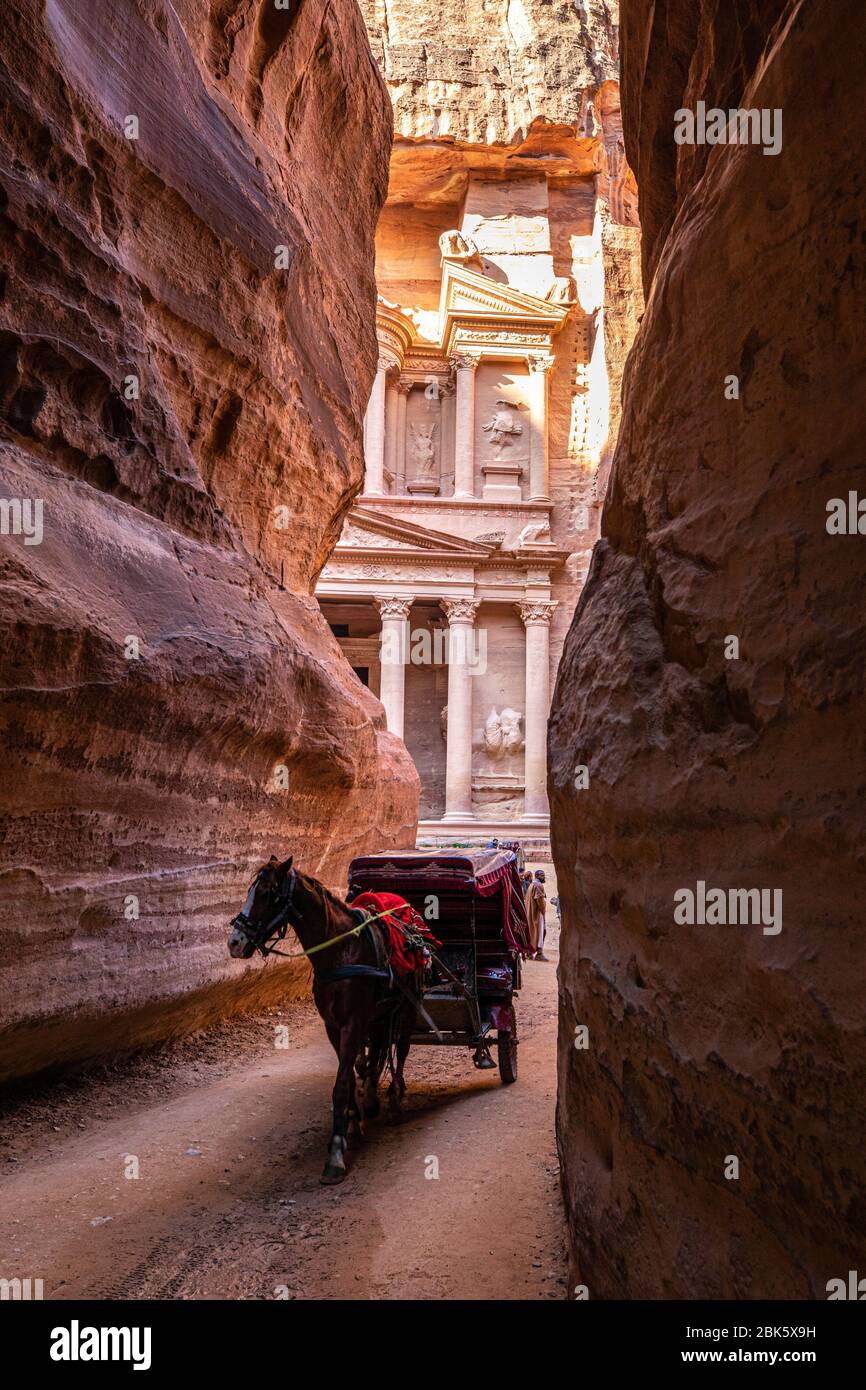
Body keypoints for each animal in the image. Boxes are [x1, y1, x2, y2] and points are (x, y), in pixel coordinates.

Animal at [229, 856, 422, 1184]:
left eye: (268, 893)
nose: (235, 942)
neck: (340, 952)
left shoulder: (353, 1022)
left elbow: (342, 1083)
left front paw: (335, 1155)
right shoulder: (333, 1025)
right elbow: (349, 1075)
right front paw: (353, 1123)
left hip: (406, 1009)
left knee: (402, 1051)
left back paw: (396, 1100)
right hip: (380, 1014)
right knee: (377, 1052)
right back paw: (373, 1098)